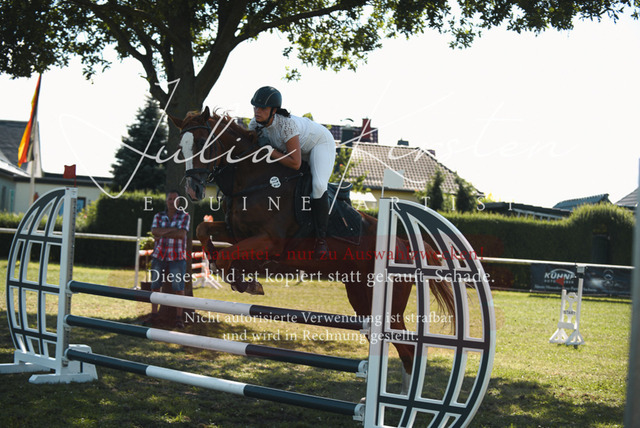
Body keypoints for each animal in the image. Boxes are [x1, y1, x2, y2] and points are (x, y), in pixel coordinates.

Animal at [168, 107, 455, 376]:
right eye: (180, 147)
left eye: (203, 143)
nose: (193, 190)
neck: (256, 180)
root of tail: (404, 245)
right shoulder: (237, 233)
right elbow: (204, 229)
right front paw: (227, 268)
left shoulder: (270, 241)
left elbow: (229, 257)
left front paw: (243, 281)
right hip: (362, 301)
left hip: (389, 307)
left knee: (408, 351)